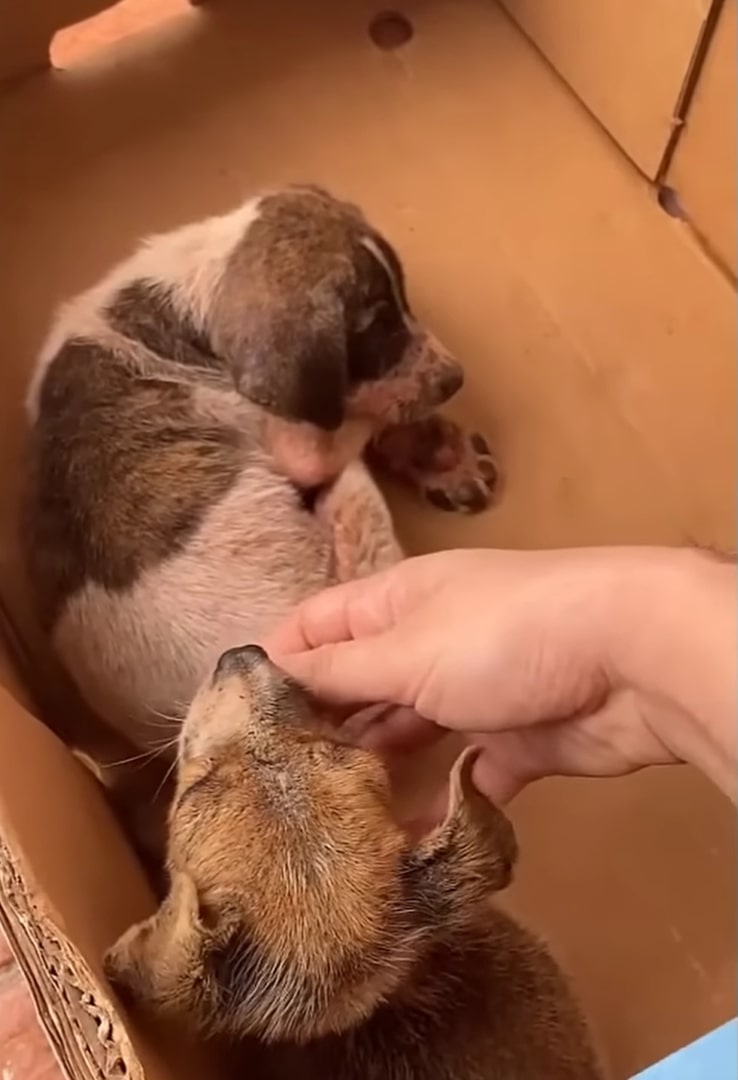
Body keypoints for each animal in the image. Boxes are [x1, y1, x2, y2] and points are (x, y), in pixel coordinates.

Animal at [24, 187, 497, 760]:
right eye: (375, 329)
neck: (188, 299)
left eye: (403, 302)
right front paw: (420, 438)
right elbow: (355, 419)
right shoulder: (301, 441)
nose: (455, 378)